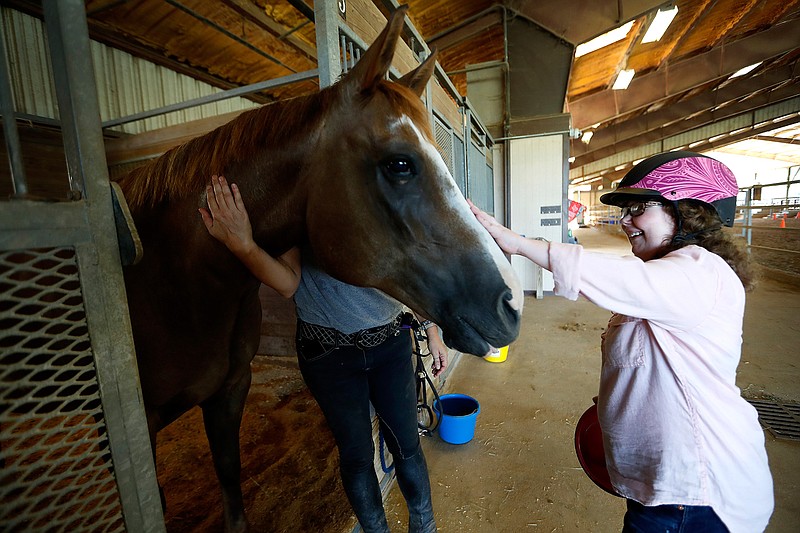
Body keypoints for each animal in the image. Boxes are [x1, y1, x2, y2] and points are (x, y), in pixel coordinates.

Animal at [115, 5, 520, 532]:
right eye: (401, 164)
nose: (511, 302)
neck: (177, 283)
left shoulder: (229, 390)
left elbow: (230, 478)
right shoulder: (141, 429)